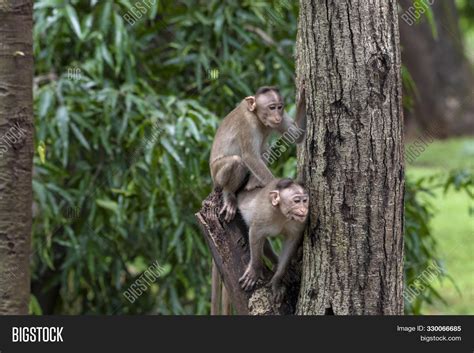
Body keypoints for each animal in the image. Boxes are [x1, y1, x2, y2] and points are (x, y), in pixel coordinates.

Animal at [209, 85, 306, 221]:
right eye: (272, 107)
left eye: (280, 107)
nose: (277, 117)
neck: (257, 117)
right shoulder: (248, 124)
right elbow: (250, 157)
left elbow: (297, 135)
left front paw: (303, 99)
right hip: (216, 176)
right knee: (236, 161)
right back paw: (229, 194)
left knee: (265, 149)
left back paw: (251, 185)